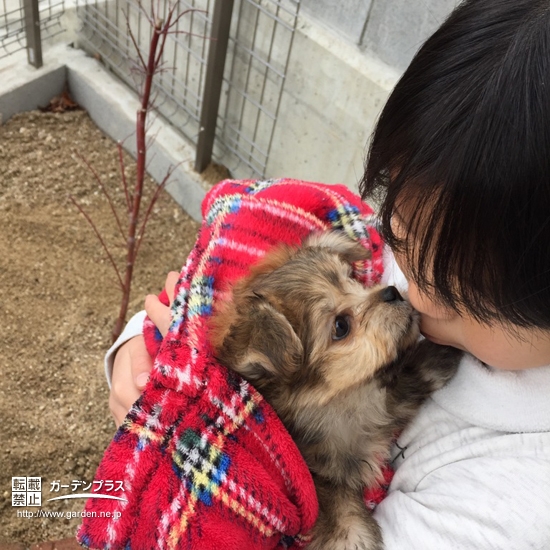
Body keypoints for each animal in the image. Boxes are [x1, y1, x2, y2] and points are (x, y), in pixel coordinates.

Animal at [209, 232, 464, 550]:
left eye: (353, 280)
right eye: (341, 326)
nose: (391, 292)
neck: (339, 401)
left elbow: (396, 391)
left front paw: (436, 356)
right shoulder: (320, 472)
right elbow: (337, 502)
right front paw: (355, 536)